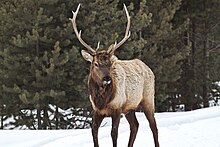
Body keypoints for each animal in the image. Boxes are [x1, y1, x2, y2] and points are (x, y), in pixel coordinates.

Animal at [70, 3, 160, 147]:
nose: (107, 78)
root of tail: (148, 68)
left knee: (153, 126)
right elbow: (94, 132)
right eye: (96, 64)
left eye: (111, 64)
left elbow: (114, 133)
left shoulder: (117, 108)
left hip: (148, 99)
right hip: (130, 108)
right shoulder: (97, 110)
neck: (102, 100)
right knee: (135, 125)